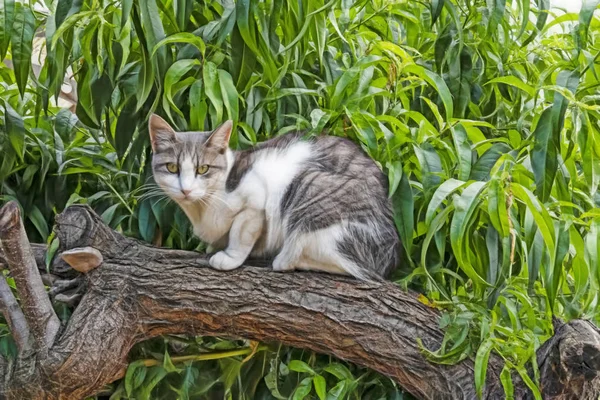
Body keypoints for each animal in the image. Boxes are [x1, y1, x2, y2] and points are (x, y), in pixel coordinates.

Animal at [149, 114, 404, 280]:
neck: (203, 208)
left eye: (203, 169)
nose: (186, 189)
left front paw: (229, 257)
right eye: (172, 168)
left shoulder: (255, 200)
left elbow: (240, 234)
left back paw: (285, 258)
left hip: (310, 186)